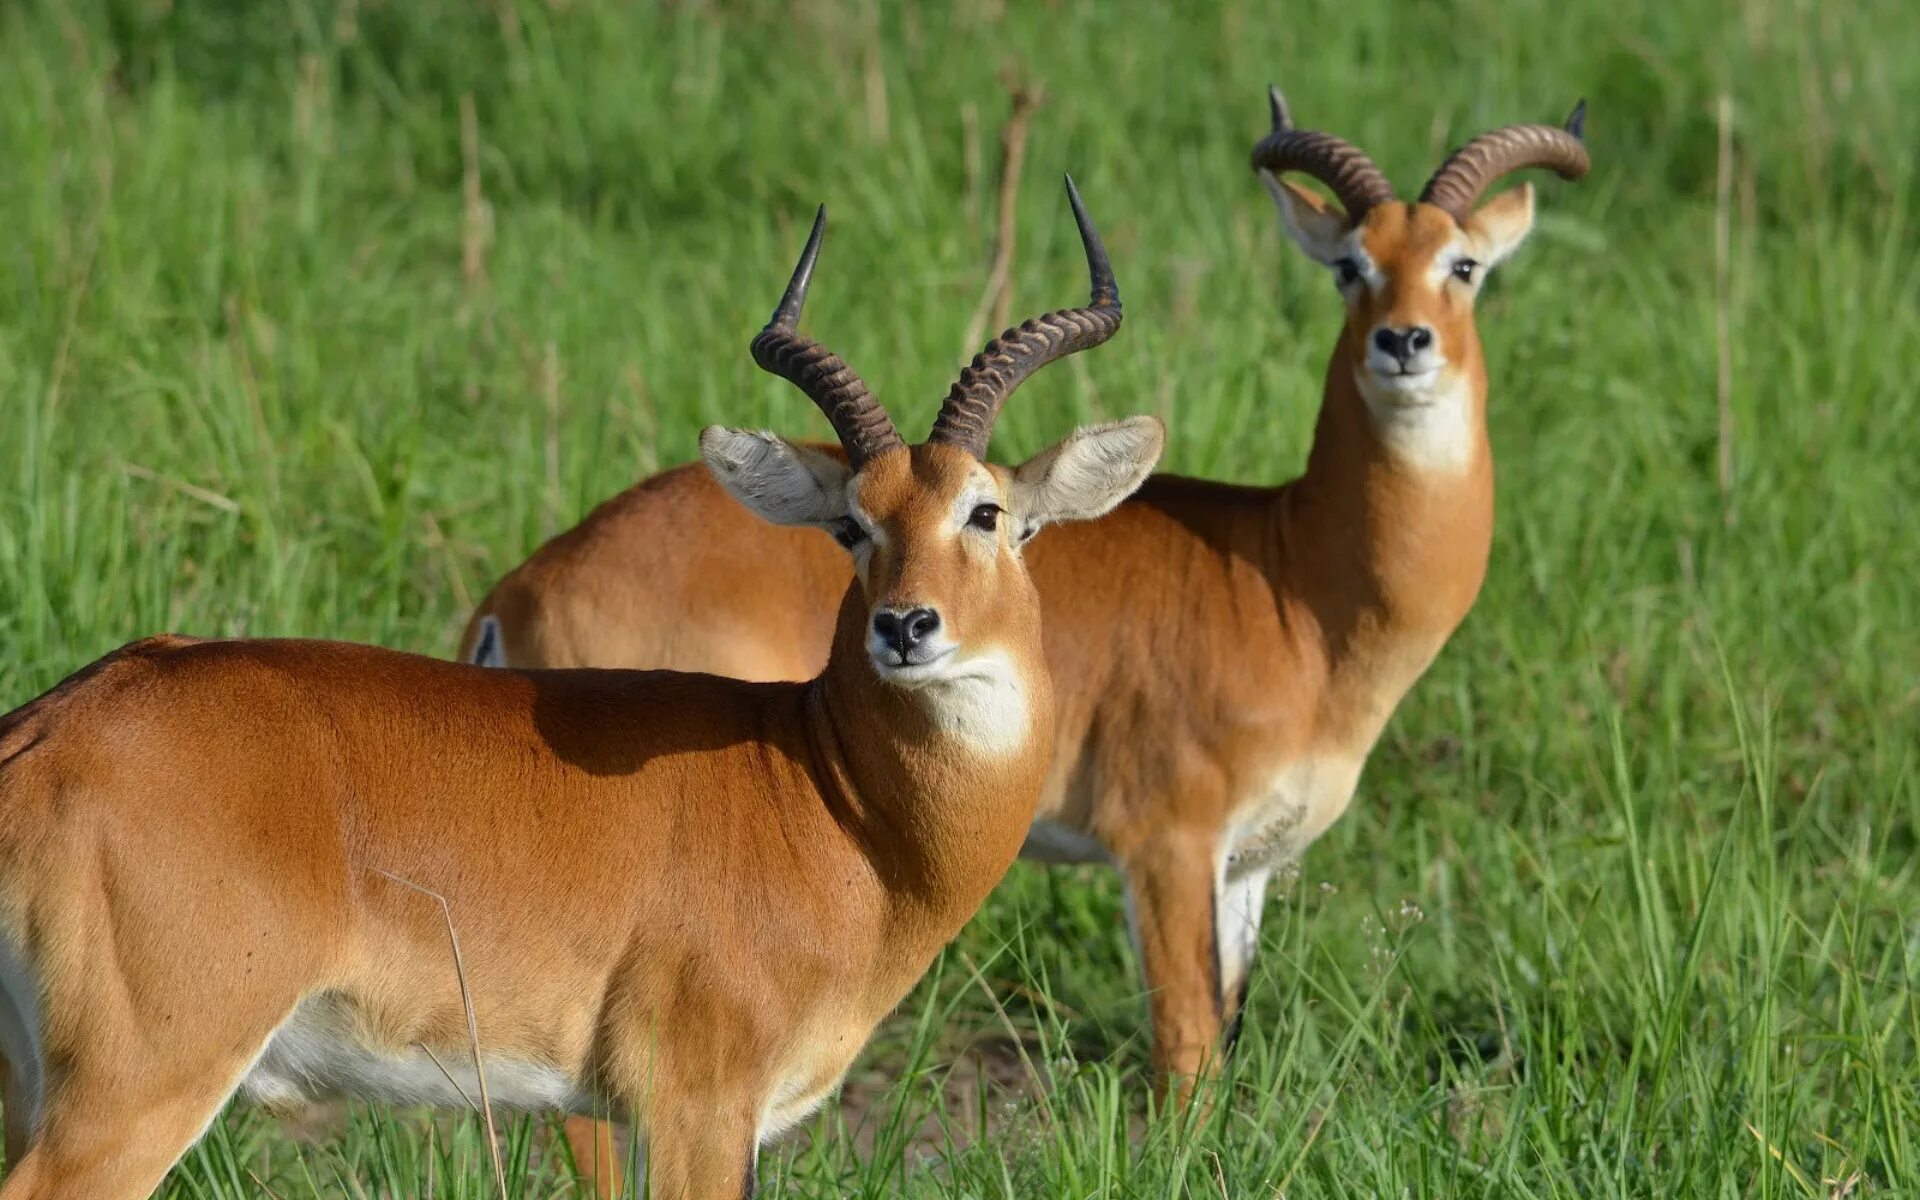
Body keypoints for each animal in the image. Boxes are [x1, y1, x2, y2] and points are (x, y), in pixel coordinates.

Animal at [0, 180, 1159, 1198]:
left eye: (989, 511)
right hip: (136, 1087)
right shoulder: (697, 1107)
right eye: (850, 523)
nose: (907, 626)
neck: (831, 802)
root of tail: (44, 737)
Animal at [464, 86, 1589, 1190]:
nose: (1404, 342)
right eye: (1353, 264)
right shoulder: (1166, 843)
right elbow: (1185, 1055)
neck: (1292, 578)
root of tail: (517, 591)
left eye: (1463, 264)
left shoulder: (1247, 869)